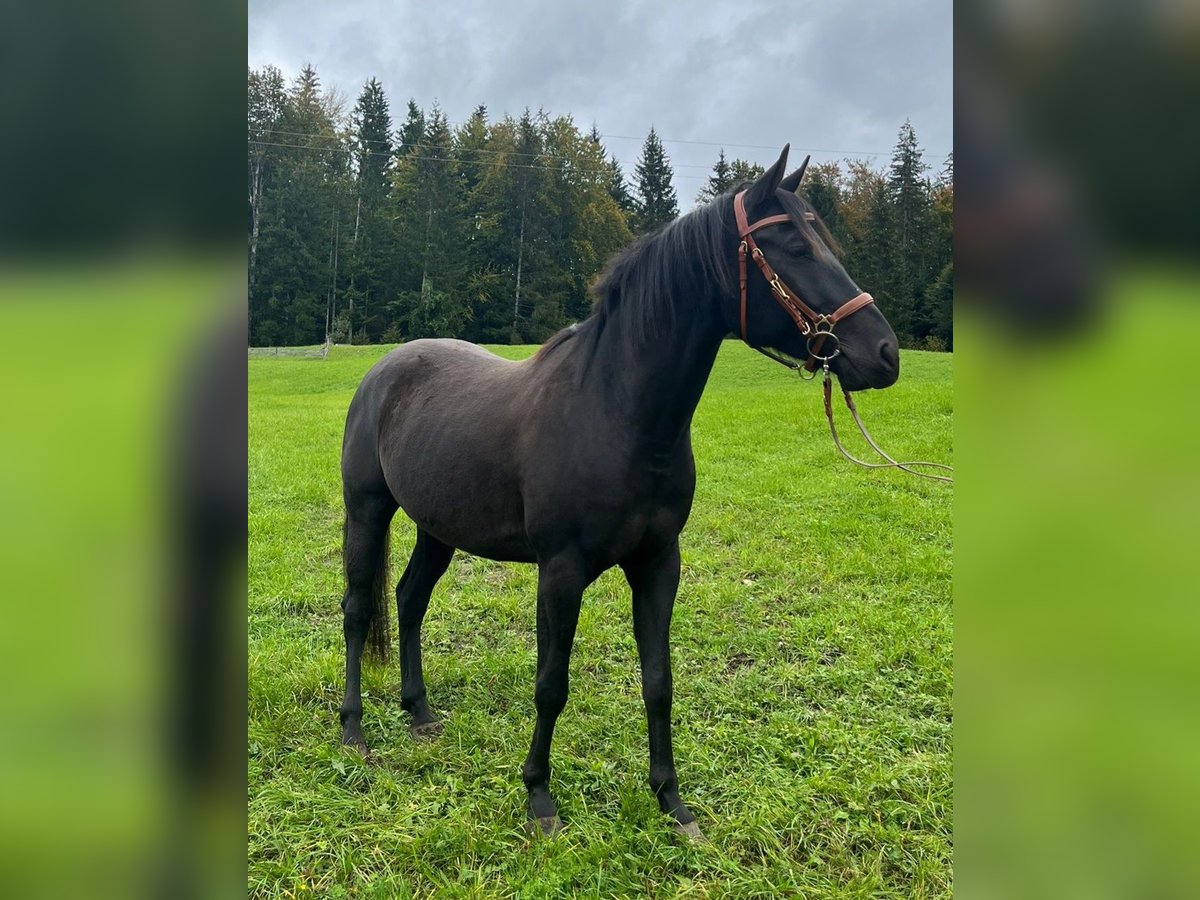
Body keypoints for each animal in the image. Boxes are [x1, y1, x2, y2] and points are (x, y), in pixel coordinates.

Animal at [338, 144, 902, 844]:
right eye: (795, 245)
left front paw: (672, 802)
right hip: (366, 511)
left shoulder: (659, 563)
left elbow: (658, 680)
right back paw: (354, 731)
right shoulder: (561, 570)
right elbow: (551, 683)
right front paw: (539, 798)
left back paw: (418, 713)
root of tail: (385, 369)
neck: (616, 412)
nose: (885, 353)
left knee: (409, 600)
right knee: (357, 610)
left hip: (437, 528)